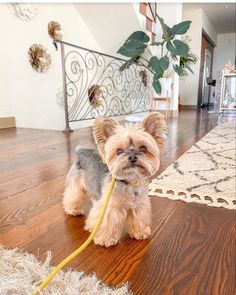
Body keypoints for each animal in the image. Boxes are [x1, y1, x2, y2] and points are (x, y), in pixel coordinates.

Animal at [63, 112, 168, 247]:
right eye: (119, 151)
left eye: (143, 149)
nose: (132, 157)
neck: (130, 182)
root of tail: (81, 150)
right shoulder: (109, 207)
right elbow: (107, 222)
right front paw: (105, 239)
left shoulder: (140, 205)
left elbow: (138, 217)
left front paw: (139, 232)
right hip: (76, 184)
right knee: (73, 195)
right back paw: (73, 210)